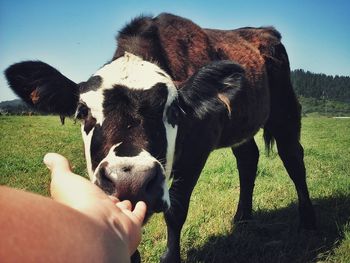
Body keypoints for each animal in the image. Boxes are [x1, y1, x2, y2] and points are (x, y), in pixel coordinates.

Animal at [4, 13, 316, 263]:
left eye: (174, 109)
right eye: (82, 111)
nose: (130, 181)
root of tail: (262, 30)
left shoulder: (197, 149)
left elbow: (176, 210)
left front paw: (170, 257)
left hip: (285, 109)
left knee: (293, 157)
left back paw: (307, 222)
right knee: (248, 158)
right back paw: (242, 217)